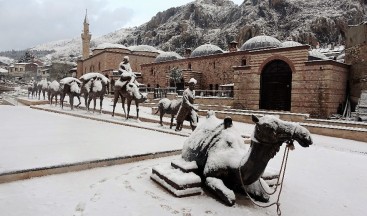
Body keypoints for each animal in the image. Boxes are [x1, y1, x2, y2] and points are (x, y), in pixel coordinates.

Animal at [183, 113, 312, 206]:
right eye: (269, 127)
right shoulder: (210, 173)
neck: (235, 164)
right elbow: (230, 198)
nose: (305, 135)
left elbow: (265, 195)